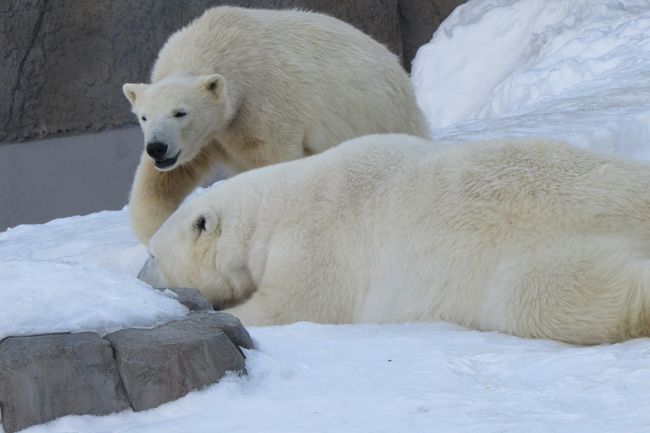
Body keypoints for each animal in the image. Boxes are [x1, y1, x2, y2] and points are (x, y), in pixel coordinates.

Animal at [121, 6, 428, 245]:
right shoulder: (207, 137)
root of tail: (396, 64)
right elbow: (162, 179)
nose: (157, 148)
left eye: (180, 112)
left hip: (382, 115)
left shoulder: (261, 107)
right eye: (144, 116)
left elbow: (275, 162)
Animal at [139, 133, 648, 342]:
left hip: (545, 248)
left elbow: (294, 306)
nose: (141, 279)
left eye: (152, 256)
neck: (270, 211)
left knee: (540, 297)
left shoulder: (316, 240)